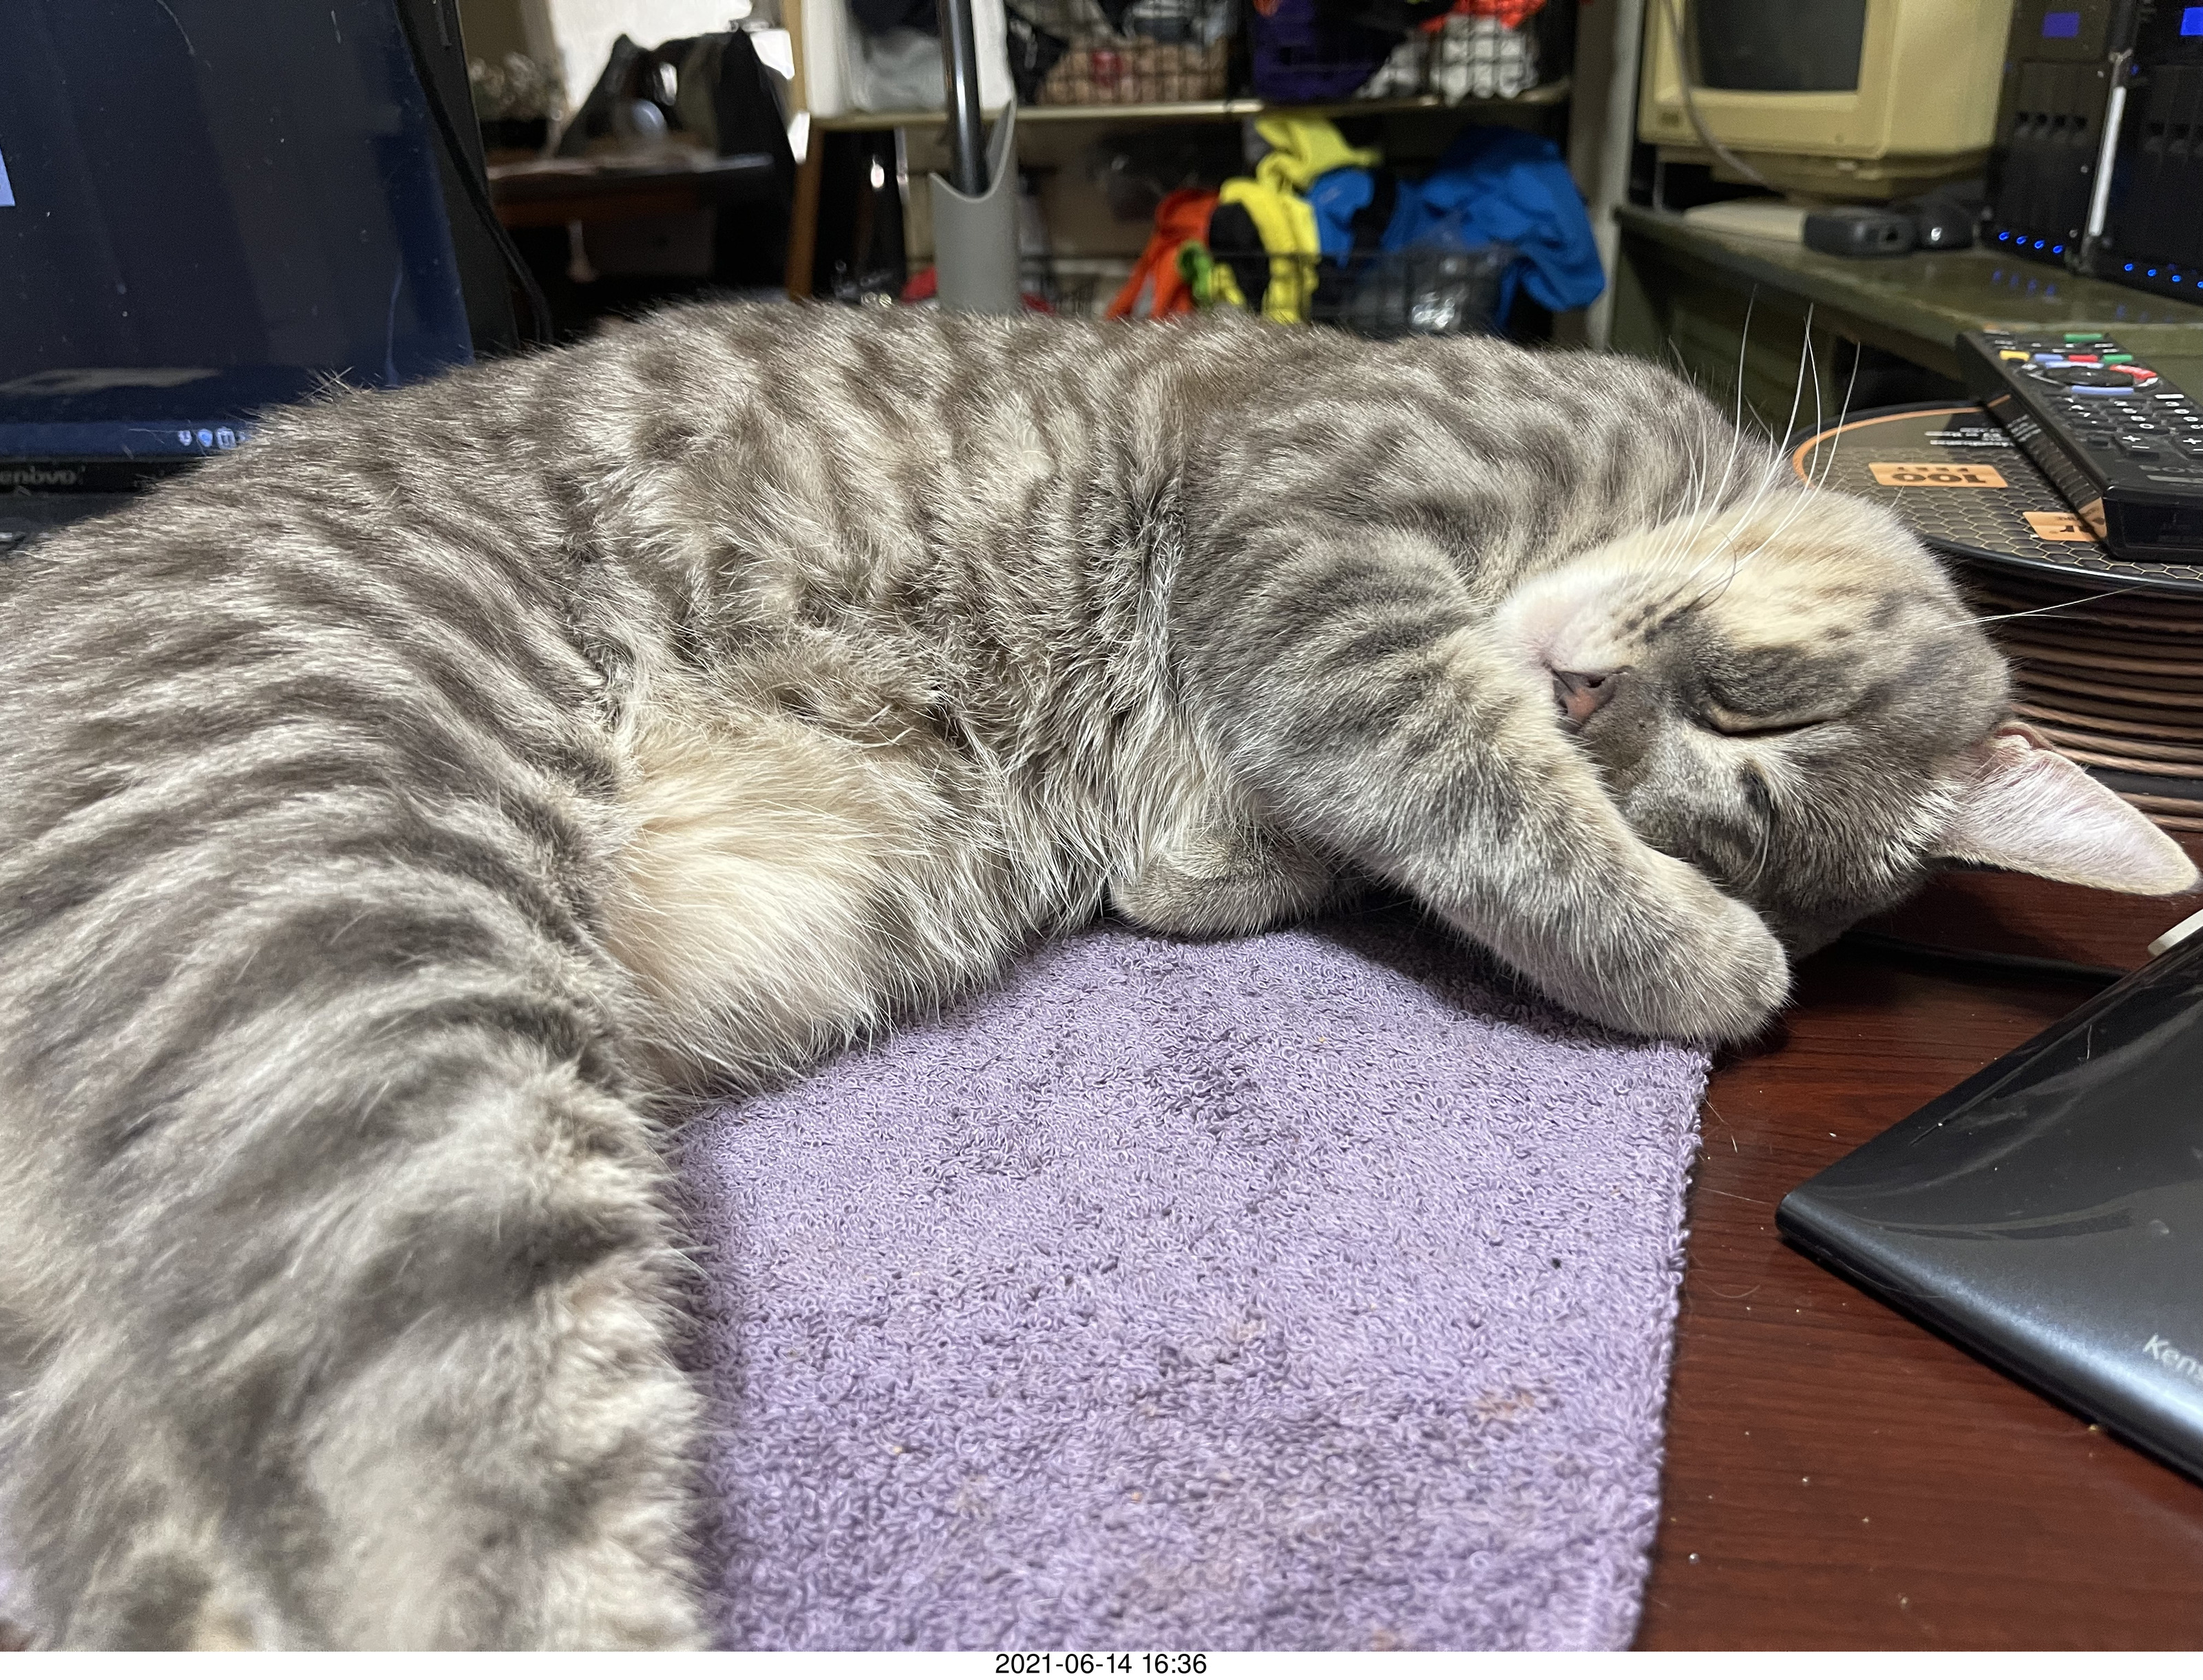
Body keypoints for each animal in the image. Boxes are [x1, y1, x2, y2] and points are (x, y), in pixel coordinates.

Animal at [0, 303, 2190, 1648]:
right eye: (1745, 713)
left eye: (1723, 764)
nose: (1585, 695)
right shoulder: (1312, 535)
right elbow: (1453, 761)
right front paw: (1694, 959)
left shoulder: (1222, 779)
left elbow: (1290, 840)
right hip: (382, 996)